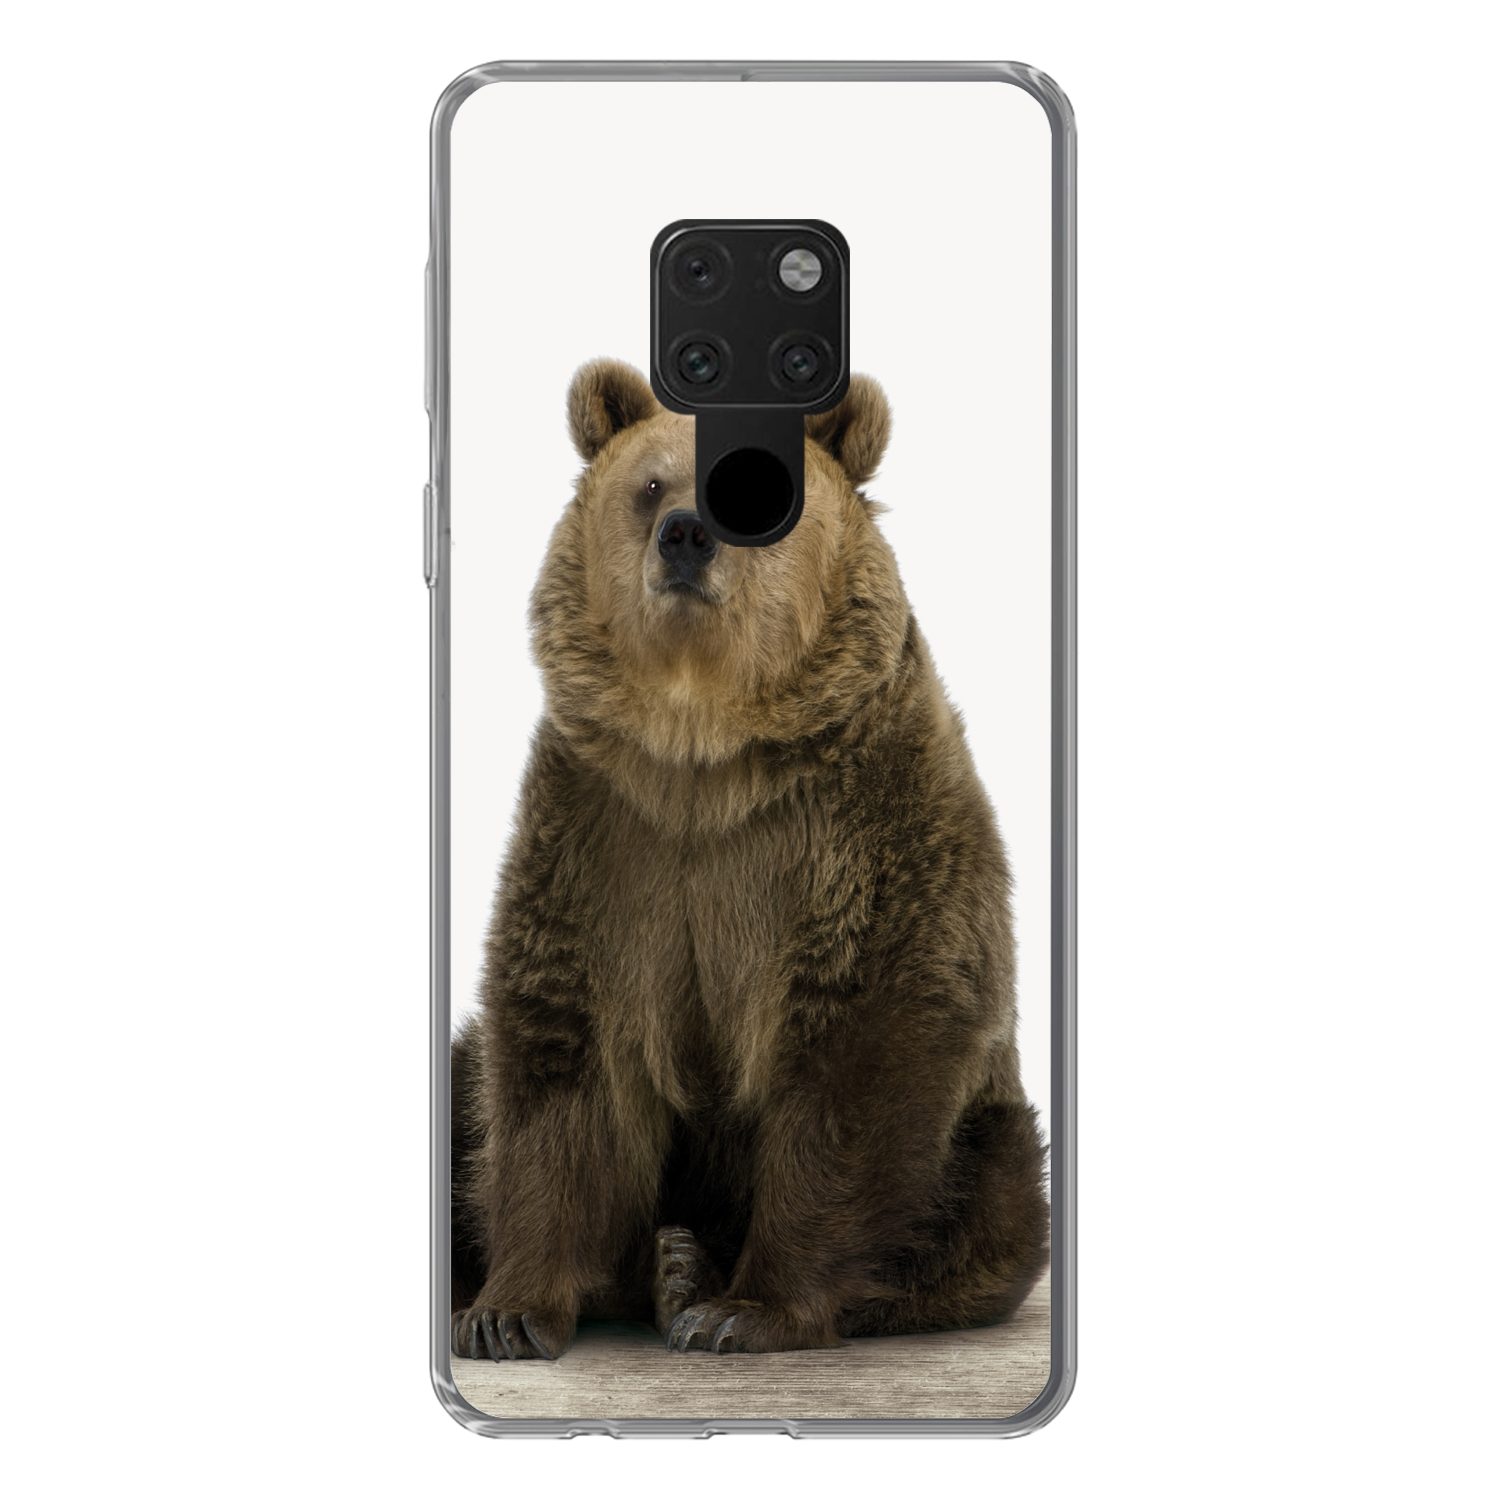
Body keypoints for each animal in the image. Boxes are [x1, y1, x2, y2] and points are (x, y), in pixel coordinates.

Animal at [450, 359, 1049, 1360]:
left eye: (759, 495)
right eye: (651, 484)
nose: (685, 535)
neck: (706, 751)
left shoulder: (860, 828)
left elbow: (861, 1052)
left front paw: (746, 1308)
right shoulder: (605, 835)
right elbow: (559, 1055)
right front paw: (505, 1312)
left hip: (987, 1138)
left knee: (987, 1200)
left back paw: (699, 1274)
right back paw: (660, 1266)